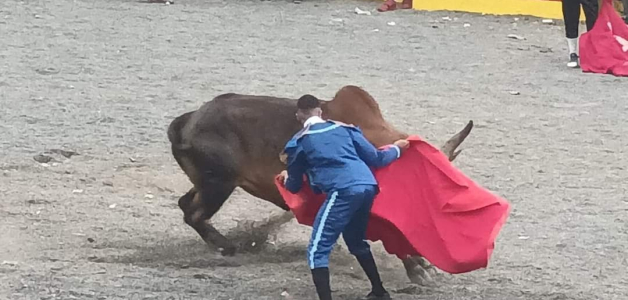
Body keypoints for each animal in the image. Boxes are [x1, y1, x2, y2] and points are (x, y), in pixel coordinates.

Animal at [167, 85, 472, 284]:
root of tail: (187, 121)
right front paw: (419, 268)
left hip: (208, 183)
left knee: (185, 205)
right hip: (219, 183)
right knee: (194, 213)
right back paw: (227, 247)